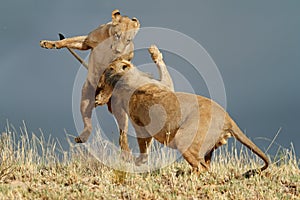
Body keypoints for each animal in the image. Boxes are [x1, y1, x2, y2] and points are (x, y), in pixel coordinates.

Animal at [96, 45, 270, 177]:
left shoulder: (141, 121)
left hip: (183, 139)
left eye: (110, 68)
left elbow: (142, 143)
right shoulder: (164, 85)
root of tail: (228, 119)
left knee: (201, 167)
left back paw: (184, 175)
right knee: (205, 164)